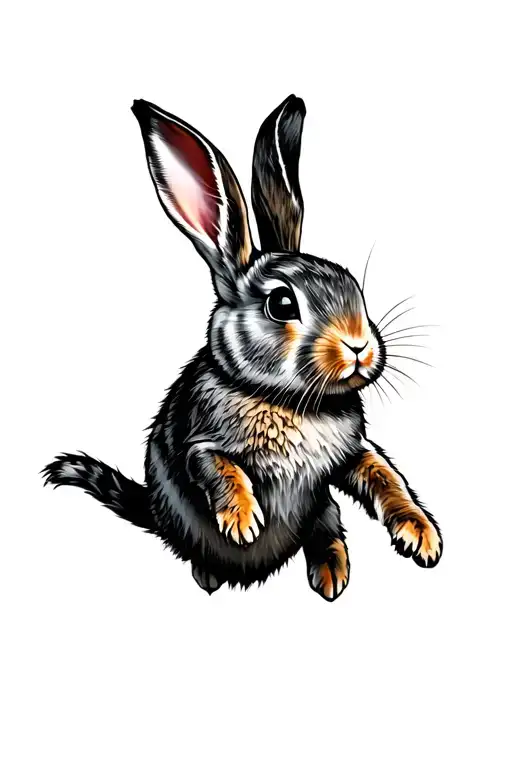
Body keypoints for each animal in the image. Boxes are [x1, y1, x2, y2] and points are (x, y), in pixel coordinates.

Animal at [43, 94, 443, 601]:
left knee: (327, 524)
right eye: (282, 303)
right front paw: (241, 521)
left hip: (320, 509)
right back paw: (213, 574)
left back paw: (331, 574)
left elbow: (384, 476)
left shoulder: (351, 452)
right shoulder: (198, 442)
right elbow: (216, 466)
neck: (288, 400)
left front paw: (422, 537)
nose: (358, 347)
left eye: (353, 285)